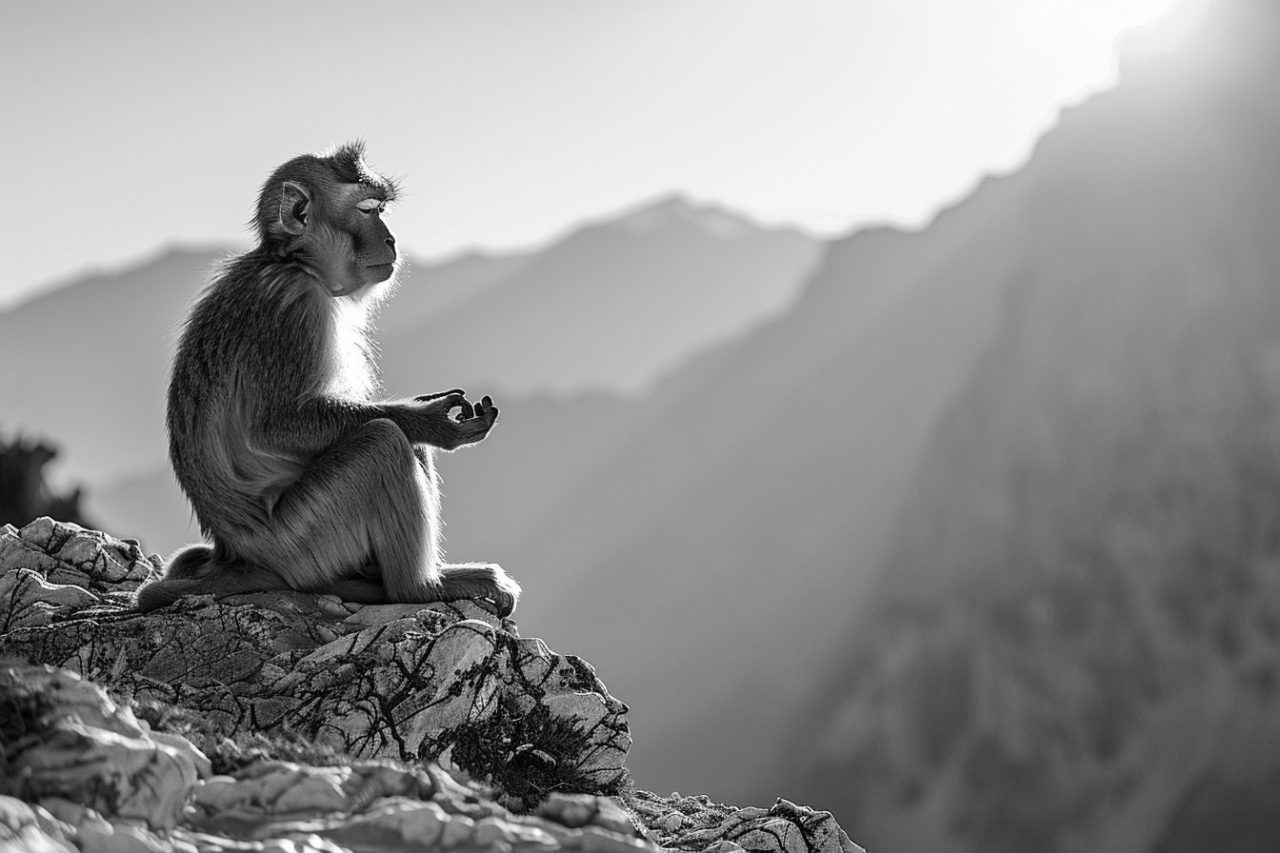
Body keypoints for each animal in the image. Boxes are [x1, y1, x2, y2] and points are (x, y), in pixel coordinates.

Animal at [135, 142, 519, 617]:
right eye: (369, 209)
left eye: (382, 209)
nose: (391, 239)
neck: (296, 264)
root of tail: (235, 554)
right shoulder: (293, 306)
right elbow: (275, 425)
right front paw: (432, 421)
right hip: (305, 541)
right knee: (381, 443)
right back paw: (420, 587)